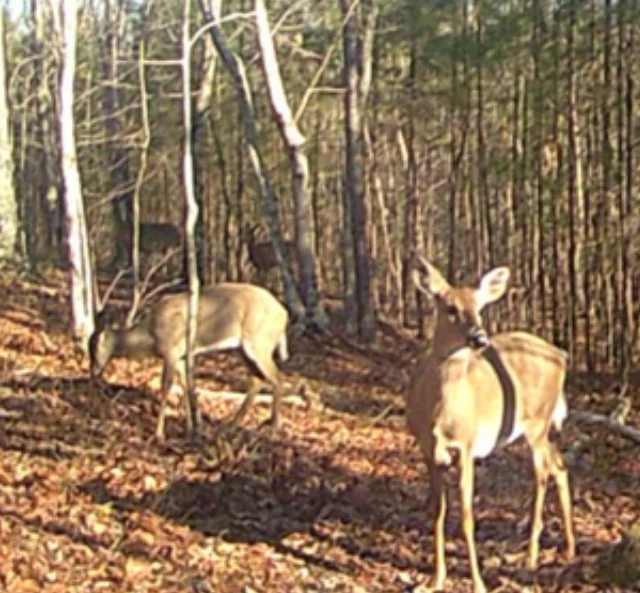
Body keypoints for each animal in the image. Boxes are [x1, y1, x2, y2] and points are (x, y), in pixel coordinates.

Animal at [88, 282, 289, 440]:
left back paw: (273, 428)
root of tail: (284, 314)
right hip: (241, 349)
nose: (93, 372)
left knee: (278, 378)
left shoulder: (171, 351)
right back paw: (231, 426)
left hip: (259, 342)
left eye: (95, 346)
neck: (151, 334)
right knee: (257, 379)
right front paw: (191, 427)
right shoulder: (181, 357)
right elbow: (185, 386)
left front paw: (159, 433)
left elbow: (166, 387)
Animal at [406, 257, 575, 593]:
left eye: (480, 308)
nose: (480, 338)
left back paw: (530, 558)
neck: (440, 413)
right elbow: (437, 511)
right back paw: (570, 548)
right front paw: (434, 579)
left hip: (537, 422)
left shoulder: (467, 446)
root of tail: (561, 355)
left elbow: (468, 516)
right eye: (450, 308)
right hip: (540, 427)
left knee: (541, 475)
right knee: (560, 465)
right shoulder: (429, 450)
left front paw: (478, 583)